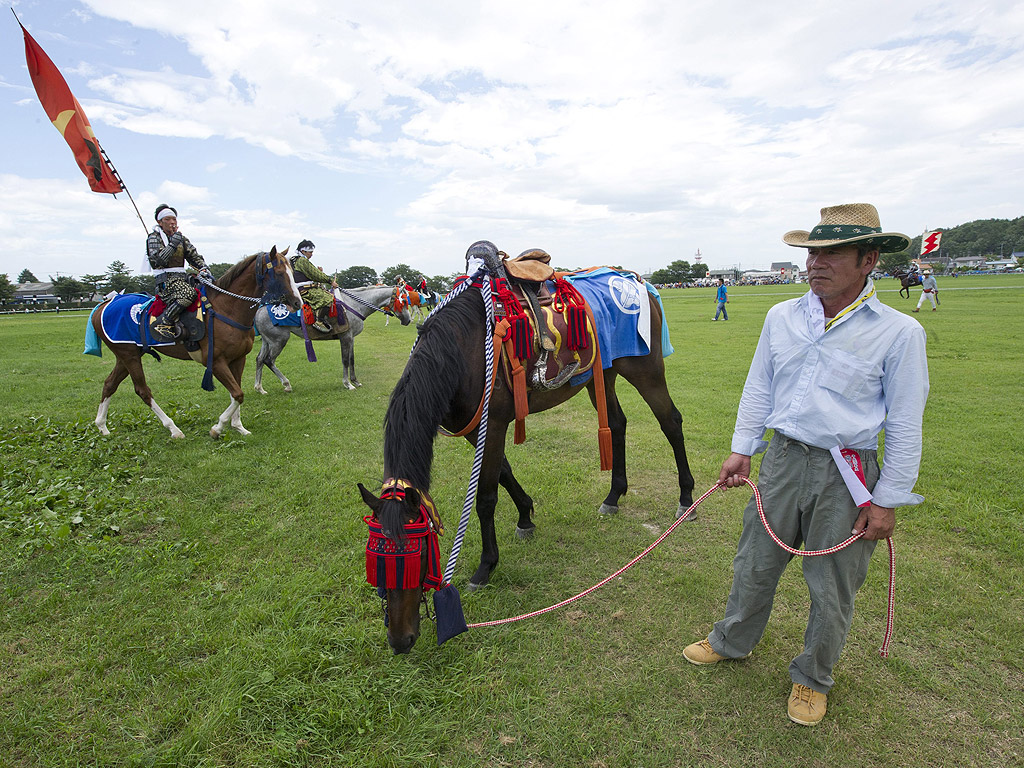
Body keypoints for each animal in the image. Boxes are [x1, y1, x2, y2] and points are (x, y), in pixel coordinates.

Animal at [92, 246, 301, 438]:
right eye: (280, 272)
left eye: (292, 271)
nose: (297, 303)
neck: (226, 309)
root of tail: (104, 305)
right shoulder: (216, 362)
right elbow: (238, 394)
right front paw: (218, 428)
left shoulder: (238, 359)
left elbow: (237, 392)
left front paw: (238, 426)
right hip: (129, 355)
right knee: (142, 390)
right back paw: (173, 429)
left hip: (128, 355)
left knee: (110, 384)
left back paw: (102, 426)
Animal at [252, 286, 411, 393]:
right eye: (403, 301)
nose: (408, 320)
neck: (354, 305)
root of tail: (260, 309)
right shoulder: (345, 337)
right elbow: (345, 360)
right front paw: (348, 384)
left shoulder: (351, 338)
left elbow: (352, 359)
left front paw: (355, 381)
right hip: (279, 341)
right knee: (269, 361)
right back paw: (286, 384)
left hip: (268, 341)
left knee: (260, 359)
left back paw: (260, 388)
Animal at [358, 249, 696, 651]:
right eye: (375, 561)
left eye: (416, 556)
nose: (400, 640)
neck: (464, 348)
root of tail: (636, 280)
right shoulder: (476, 429)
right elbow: (504, 473)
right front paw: (526, 516)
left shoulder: (493, 425)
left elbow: (486, 497)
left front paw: (486, 566)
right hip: (603, 375)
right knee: (617, 424)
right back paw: (613, 496)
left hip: (645, 369)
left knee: (671, 422)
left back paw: (686, 498)